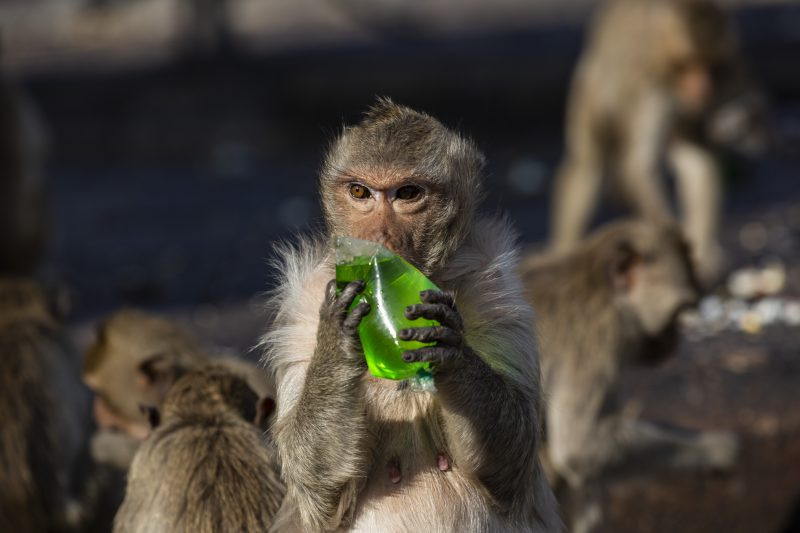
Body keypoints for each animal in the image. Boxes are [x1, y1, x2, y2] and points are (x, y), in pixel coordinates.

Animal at [262, 98, 564, 532]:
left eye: (407, 193)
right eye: (359, 192)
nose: (378, 239)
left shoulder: (497, 292)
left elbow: (513, 460)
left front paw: (451, 351)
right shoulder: (300, 307)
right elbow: (316, 488)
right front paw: (337, 342)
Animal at [552, 0, 768, 286]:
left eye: (708, 66)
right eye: (686, 65)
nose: (702, 89)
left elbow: (698, 158)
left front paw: (703, 253)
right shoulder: (649, 91)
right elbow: (640, 167)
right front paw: (673, 252)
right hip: (593, 84)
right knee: (587, 164)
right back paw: (563, 250)